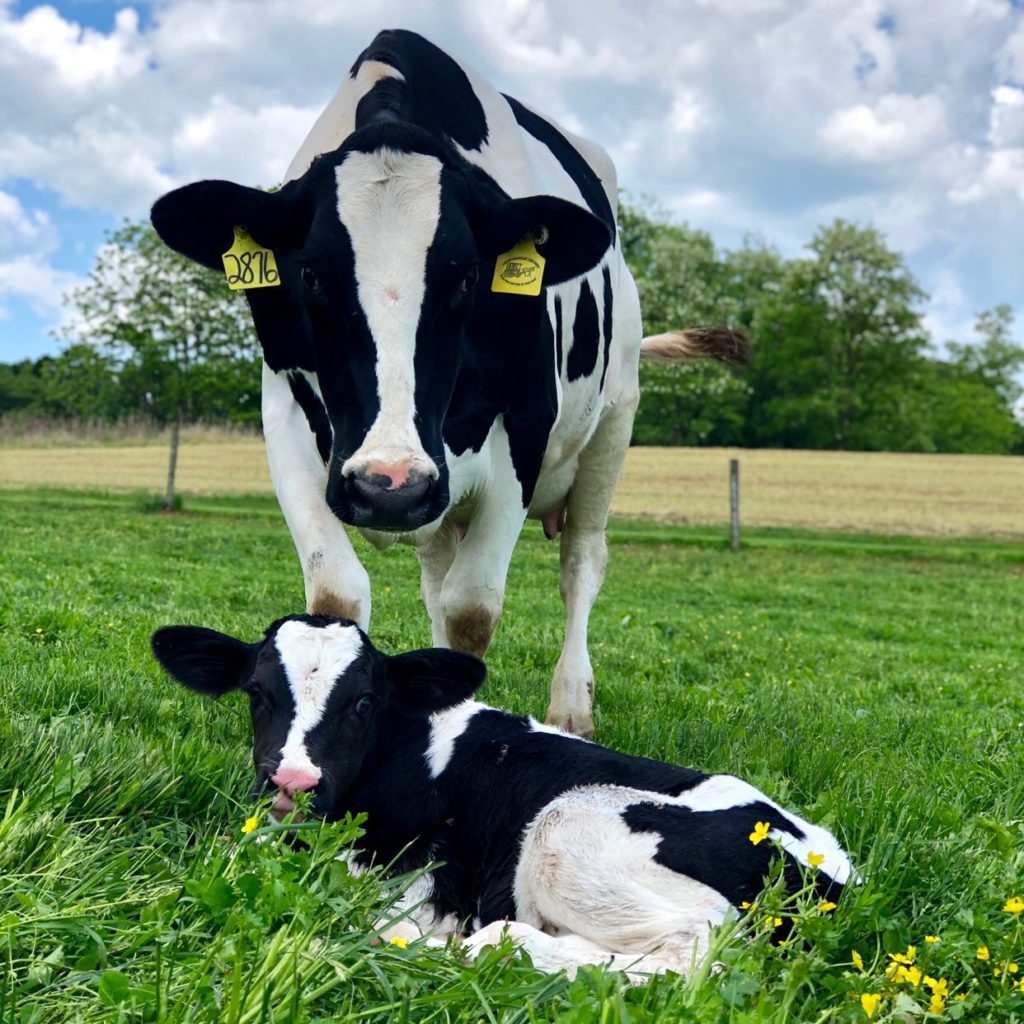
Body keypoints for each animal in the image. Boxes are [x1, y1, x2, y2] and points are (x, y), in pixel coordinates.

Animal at [148, 28, 749, 737]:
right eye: (311, 275)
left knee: (581, 562)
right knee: (438, 575)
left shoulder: (523, 427)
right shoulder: (288, 414)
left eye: (465, 276)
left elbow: (472, 609)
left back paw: (572, 705)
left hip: (613, 421)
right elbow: (339, 593)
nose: (388, 486)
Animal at [151, 610, 851, 978]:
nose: (292, 783)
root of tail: (832, 868)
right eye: (257, 692)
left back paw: (486, 946)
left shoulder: (424, 883)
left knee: (690, 951)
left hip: (569, 823)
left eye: (364, 701)